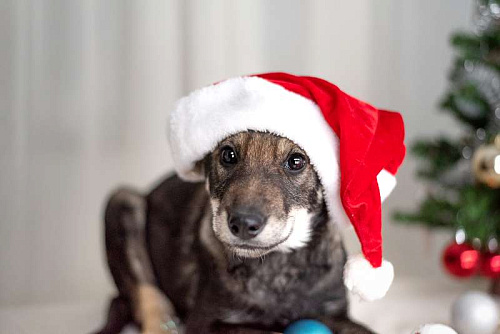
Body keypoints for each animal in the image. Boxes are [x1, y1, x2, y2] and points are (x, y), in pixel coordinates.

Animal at [94, 131, 376, 334]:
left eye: (296, 161)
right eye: (228, 155)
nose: (243, 224)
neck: (278, 266)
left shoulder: (333, 311)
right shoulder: (205, 323)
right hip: (122, 202)